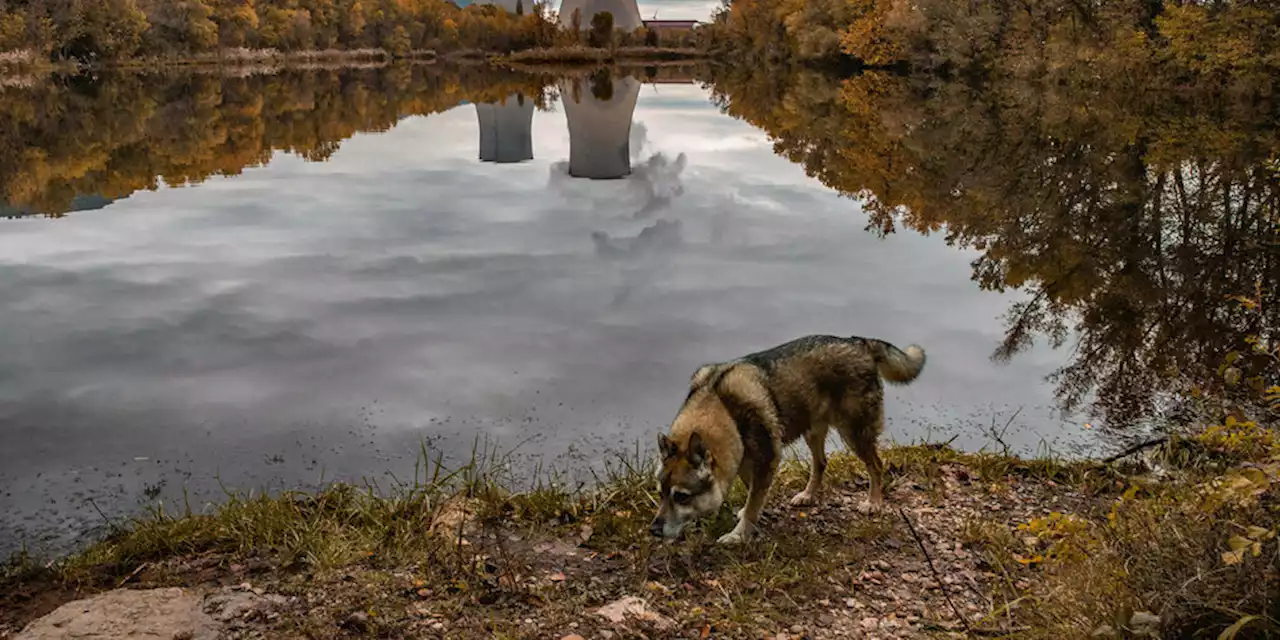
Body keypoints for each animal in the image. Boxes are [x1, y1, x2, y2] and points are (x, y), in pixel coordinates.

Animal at [650, 337, 921, 542]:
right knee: (821, 463)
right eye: (660, 494)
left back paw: (873, 502)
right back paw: (808, 495)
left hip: (854, 433)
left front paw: (739, 535)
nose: (653, 530)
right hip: (813, 430)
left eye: (682, 496)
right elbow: (751, 494)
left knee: (876, 465)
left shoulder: (767, 459)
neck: (722, 406)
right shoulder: (747, 460)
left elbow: (753, 503)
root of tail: (860, 343)